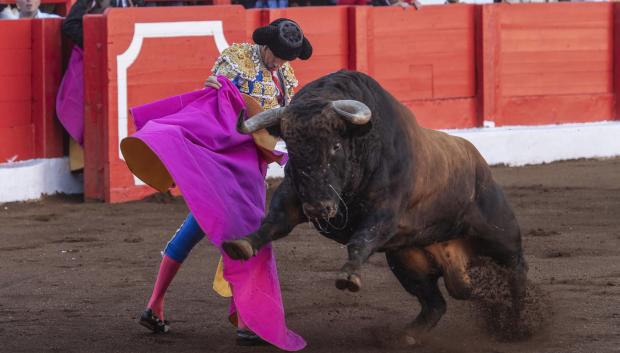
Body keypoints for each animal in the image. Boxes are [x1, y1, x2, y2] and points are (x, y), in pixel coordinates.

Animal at [223, 69, 528, 338]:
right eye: (292, 148)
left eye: (335, 146)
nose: (319, 209)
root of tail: (479, 164)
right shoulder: (295, 194)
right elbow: (274, 222)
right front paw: (242, 245)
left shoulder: (385, 213)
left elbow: (361, 240)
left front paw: (348, 277)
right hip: (407, 261)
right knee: (437, 302)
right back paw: (407, 336)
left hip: (500, 235)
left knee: (517, 269)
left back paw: (519, 322)